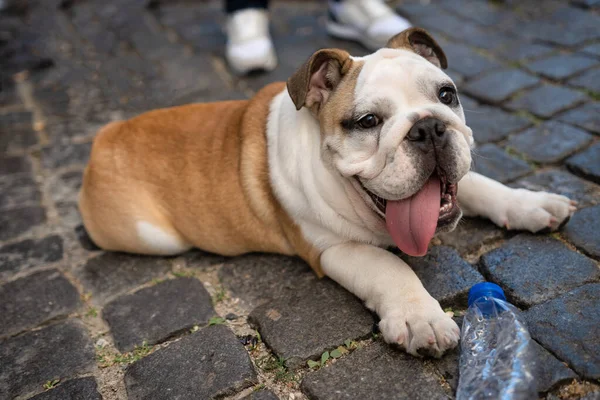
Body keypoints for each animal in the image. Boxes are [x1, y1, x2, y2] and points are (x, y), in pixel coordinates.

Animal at [78, 29, 572, 358]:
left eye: (446, 95)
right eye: (368, 121)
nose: (428, 127)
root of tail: (103, 137)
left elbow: (480, 184)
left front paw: (528, 202)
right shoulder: (332, 248)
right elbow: (389, 267)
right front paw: (421, 317)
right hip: (155, 238)